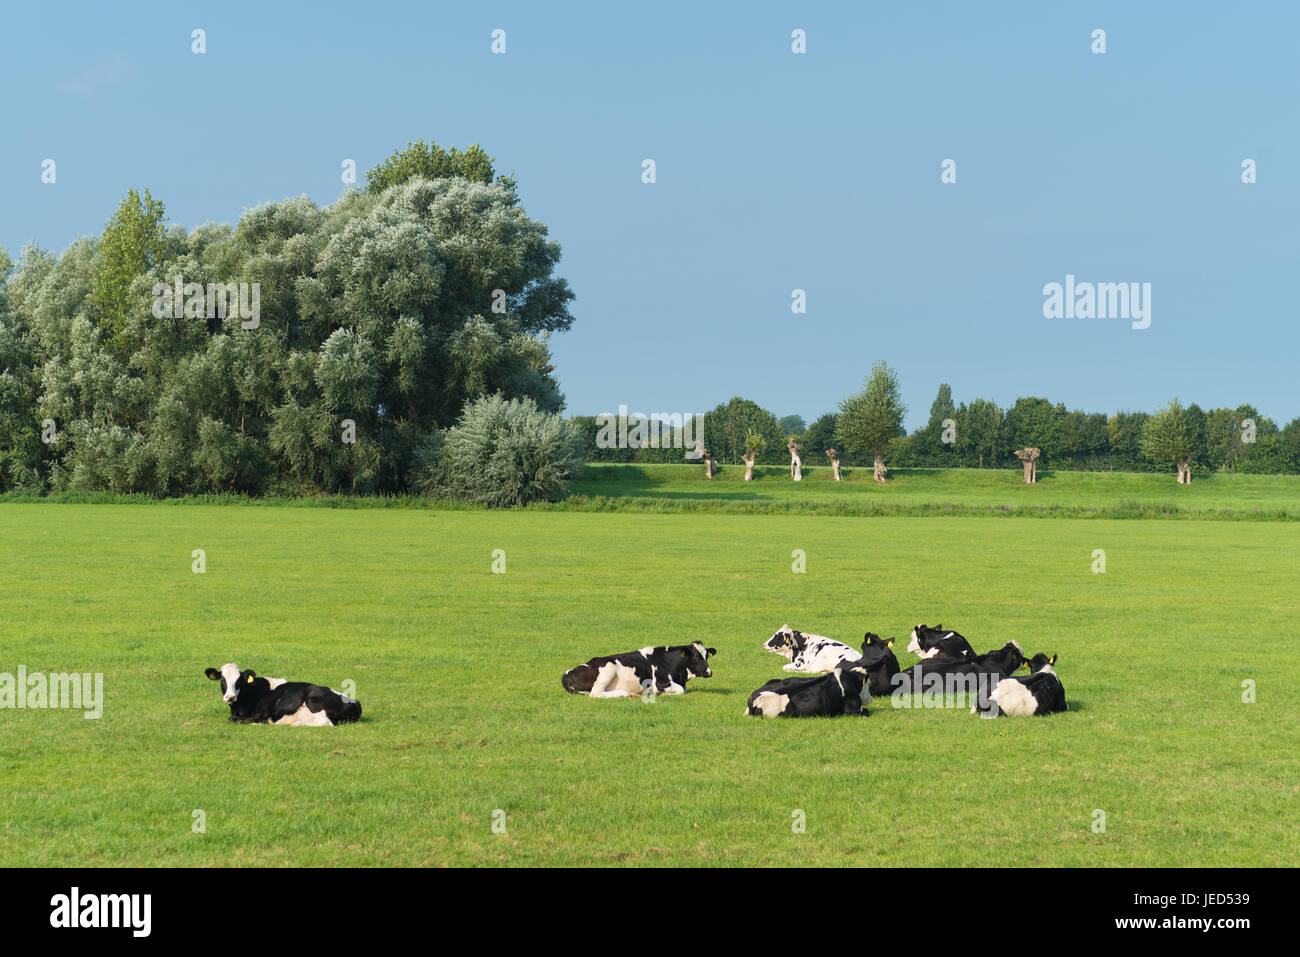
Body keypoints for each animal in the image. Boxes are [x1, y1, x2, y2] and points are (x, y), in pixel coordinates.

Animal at [205, 665, 364, 722]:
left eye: (239, 680)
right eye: (222, 680)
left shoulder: (260, 713)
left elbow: (236, 720)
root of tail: (356, 702)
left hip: (313, 699)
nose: (230, 696)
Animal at [564, 642, 717, 696]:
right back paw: (624, 693)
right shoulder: (660, 683)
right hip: (608, 669)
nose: (709, 672)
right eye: (696, 656)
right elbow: (680, 690)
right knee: (596, 693)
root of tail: (568, 672)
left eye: (706, 656)